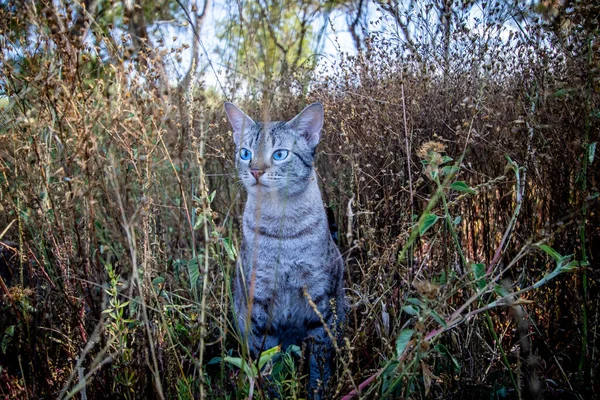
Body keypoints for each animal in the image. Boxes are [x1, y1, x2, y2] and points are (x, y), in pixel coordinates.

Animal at [224, 101, 346, 398]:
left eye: (279, 154)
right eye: (245, 154)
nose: (255, 171)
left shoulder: (320, 303)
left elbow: (319, 366)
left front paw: (317, 391)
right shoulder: (258, 304)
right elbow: (267, 364)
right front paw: (273, 391)